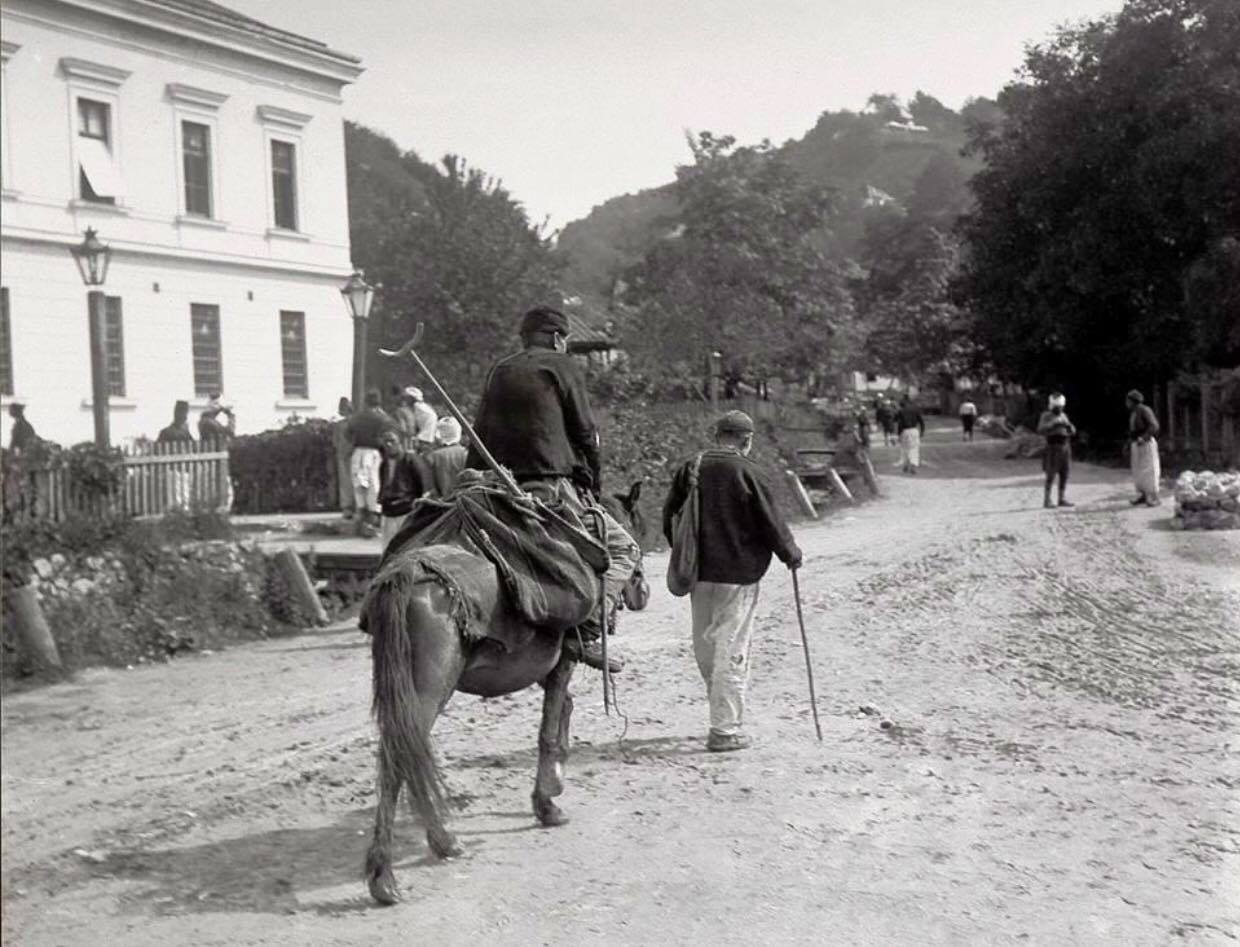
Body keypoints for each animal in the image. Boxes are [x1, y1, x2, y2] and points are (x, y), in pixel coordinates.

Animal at [363, 481, 648, 905]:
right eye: (635, 530)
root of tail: (408, 573)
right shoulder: (562, 665)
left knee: (401, 754)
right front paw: (547, 803)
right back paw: (400, 866)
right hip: (429, 690)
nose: (643, 590)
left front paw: (554, 783)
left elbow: (563, 715)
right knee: (402, 755)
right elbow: (550, 730)